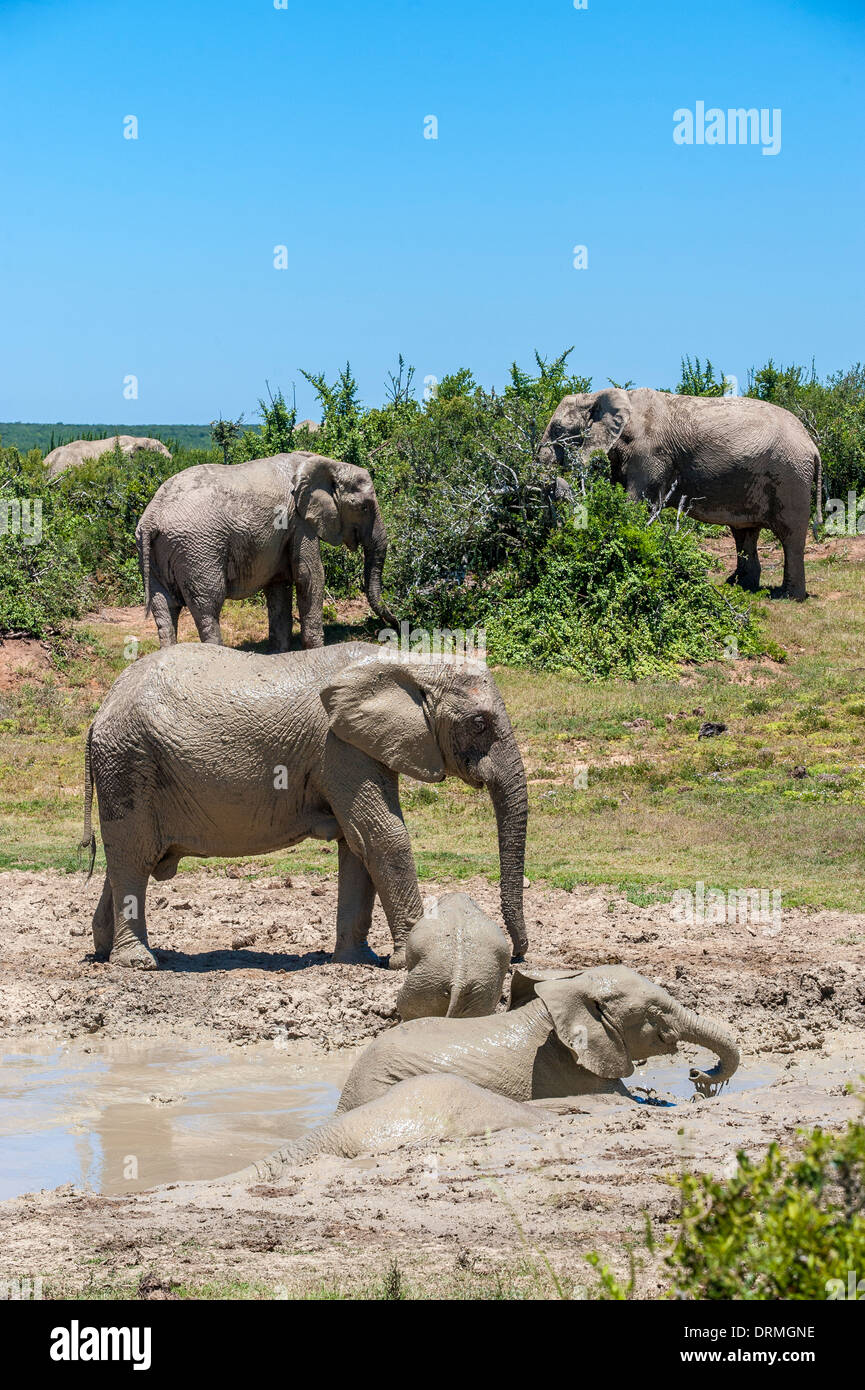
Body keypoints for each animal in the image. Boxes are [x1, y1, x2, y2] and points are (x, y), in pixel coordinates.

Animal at [81, 639, 528, 967]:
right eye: (479, 723)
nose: (517, 957)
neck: (410, 663)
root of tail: (100, 710)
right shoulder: (340, 747)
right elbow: (382, 836)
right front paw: (409, 962)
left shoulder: (360, 746)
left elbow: (357, 845)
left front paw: (355, 960)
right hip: (128, 760)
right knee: (132, 856)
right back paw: (136, 963)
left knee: (126, 859)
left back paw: (104, 952)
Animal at [134, 453, 397, 653]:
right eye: (364, 507)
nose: (393, 626)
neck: (326, 462)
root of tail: (151, 518)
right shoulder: (300, 521)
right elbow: (310, 577)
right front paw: (316, 651)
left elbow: (279, 586)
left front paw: (279, 653)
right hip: (198, 549)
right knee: (208, 604)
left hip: (156, 553)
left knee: (164, 606)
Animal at [539, 389, 823, 600]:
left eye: (558, 429)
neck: (600, 395)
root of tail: (812, 445)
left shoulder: (650, 454)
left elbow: (637, 505)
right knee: (744, 532)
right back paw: (738, 586)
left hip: (790, 476)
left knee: (790, 534)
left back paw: (788, 596)